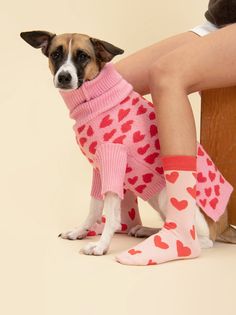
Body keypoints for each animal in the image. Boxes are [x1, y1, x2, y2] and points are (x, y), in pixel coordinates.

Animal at [19, 30, 232, 256]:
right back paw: (147, 230)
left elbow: (111, 215)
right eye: (56, 54)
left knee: (204, 239)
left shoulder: (114, 162)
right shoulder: (100, 169)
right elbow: (94, 207)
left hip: (168, 196)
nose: (64, 77)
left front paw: (101, 245)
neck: (95, 99)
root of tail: (224, 225)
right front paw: (80, 231)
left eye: (83, 56)